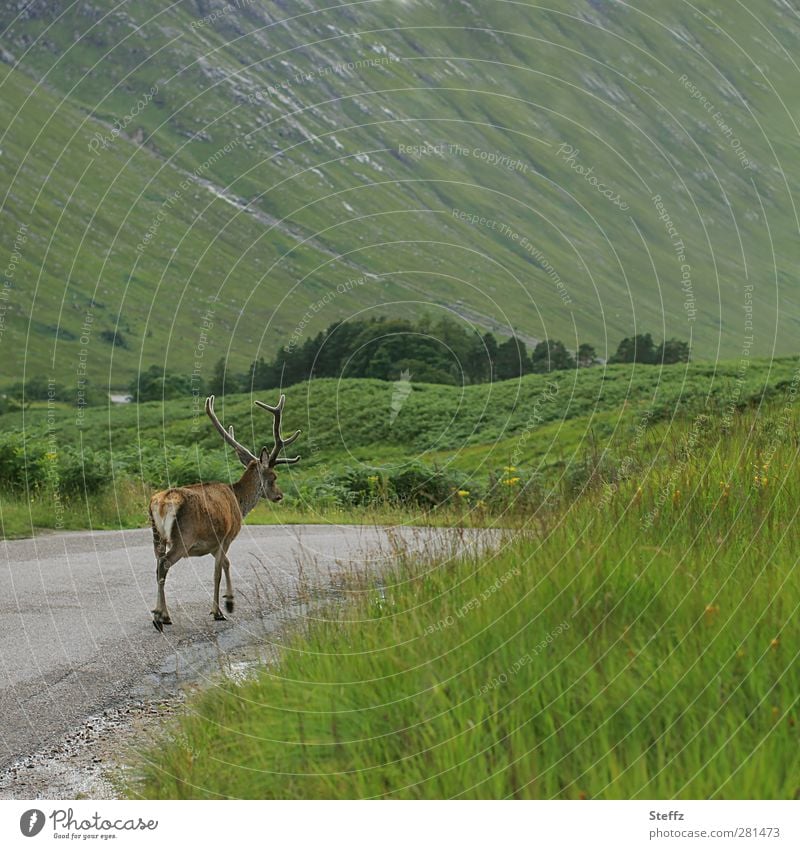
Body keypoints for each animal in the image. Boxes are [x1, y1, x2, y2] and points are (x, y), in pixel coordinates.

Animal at [148, 392, 302, 628]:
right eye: (274, 477)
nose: (279, 496)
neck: (239, 501)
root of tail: (162, 502)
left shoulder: (212, 544)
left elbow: (227, 565)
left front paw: (229, 601)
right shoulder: (226, 536)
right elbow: (218, 572)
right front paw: (218, 611)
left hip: (157, 536)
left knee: (157, 564)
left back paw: (160, 612)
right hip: (183, 537)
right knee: (164, 565)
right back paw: (161, 616)